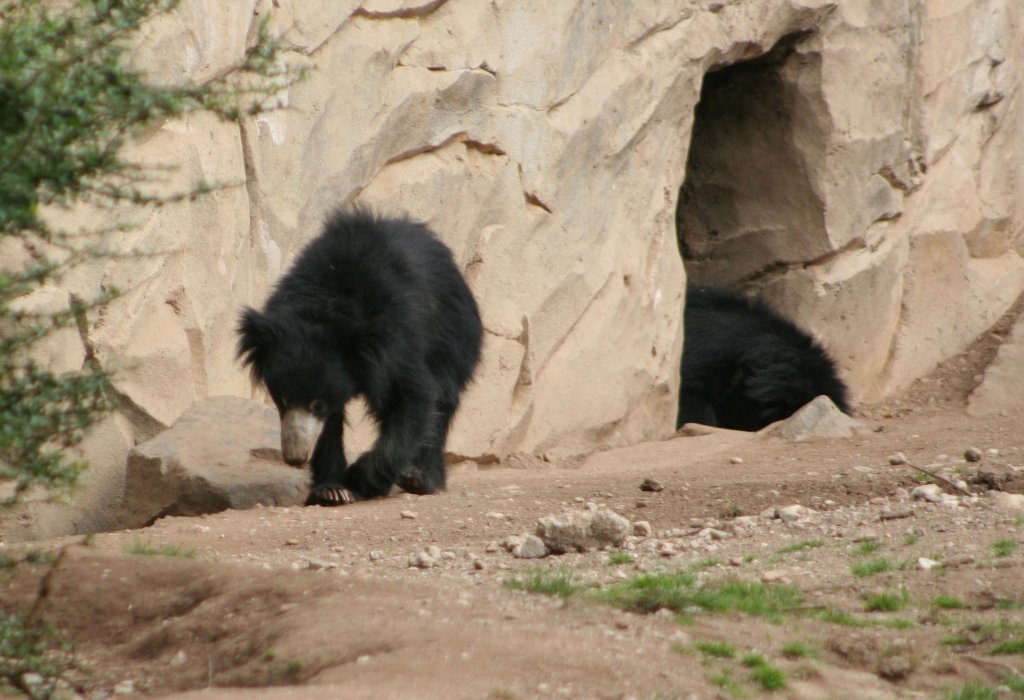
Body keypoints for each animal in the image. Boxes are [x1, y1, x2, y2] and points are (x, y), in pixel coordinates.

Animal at [239, 206, 483, 503]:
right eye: (283, 400)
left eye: (317, 405)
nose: (295, 457)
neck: (326, 306)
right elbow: (330, 428)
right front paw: (331, 490)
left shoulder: (398, 342)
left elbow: (414, 396)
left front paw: (358, 480)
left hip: (455, 333)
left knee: (443, 400)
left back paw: (420, 478)